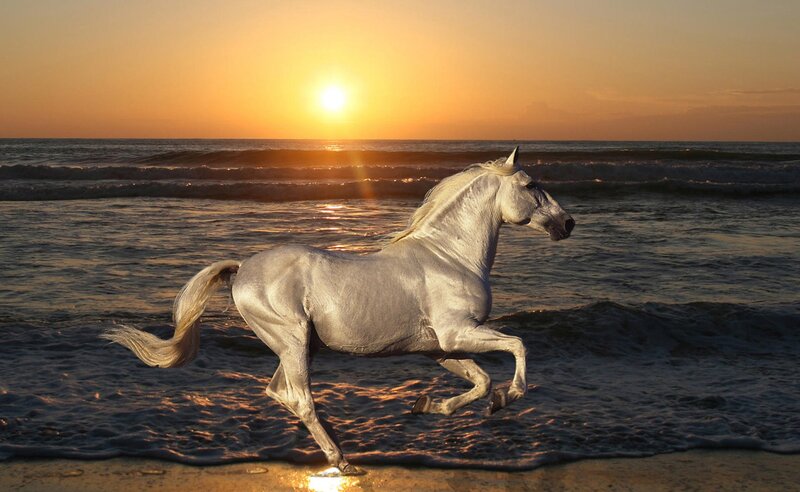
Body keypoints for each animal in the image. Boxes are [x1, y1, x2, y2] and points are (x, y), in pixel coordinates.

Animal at [102, 147, 575, 476]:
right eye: (531, 185)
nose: (567, 224)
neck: (449, 257)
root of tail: (242, 269)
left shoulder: (440, 347)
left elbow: (479, 382)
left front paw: (428, 406)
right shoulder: (458, 333)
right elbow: (517, 346)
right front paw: (508, 398)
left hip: (299, 347)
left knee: (281, 393)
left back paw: (339, 445)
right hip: (292, 341)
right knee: (299, 398)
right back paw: (342, 459)